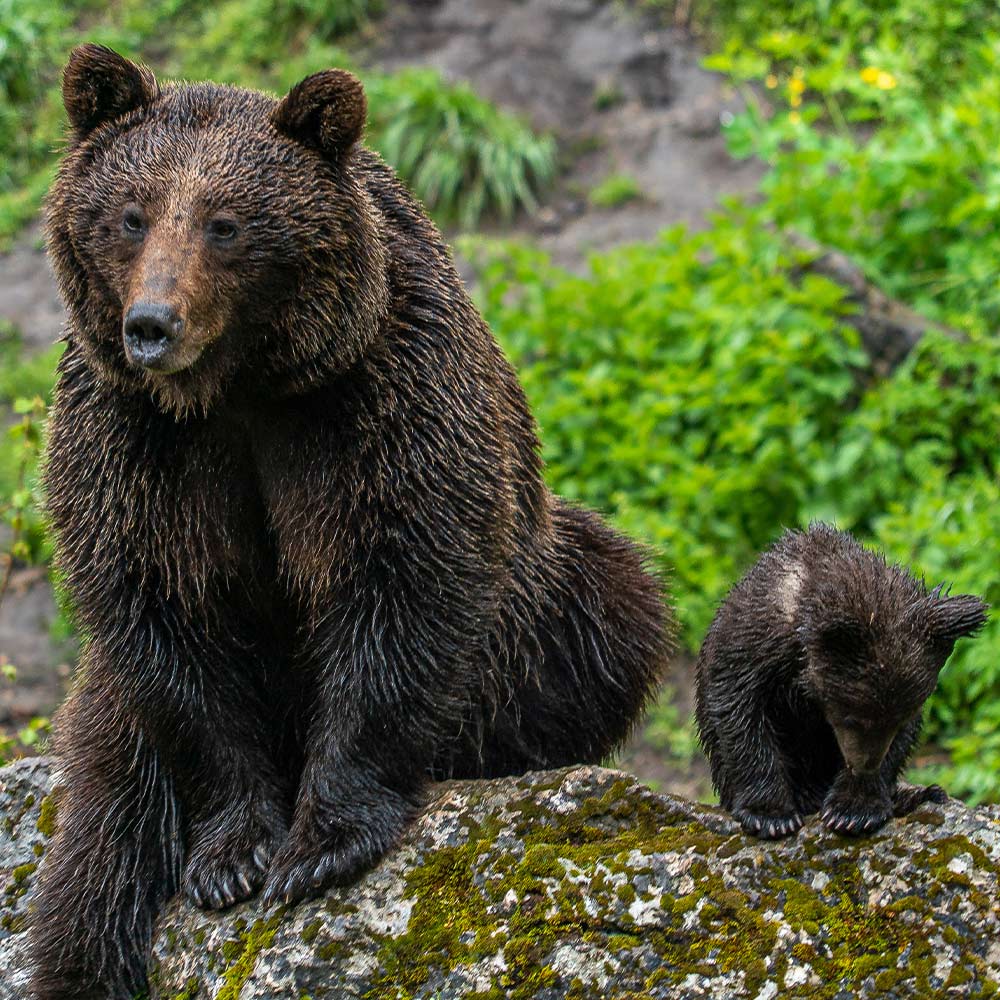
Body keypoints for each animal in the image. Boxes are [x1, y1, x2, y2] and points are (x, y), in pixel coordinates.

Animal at [27, 44, 673, 1000]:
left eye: (225, 224)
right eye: (130, 215)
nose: (152, 326)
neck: (236, 386)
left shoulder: (374, 400)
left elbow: (400, 582)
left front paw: (321, 845)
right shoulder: (136, 447)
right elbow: (174, 628)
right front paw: (231, 855)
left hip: (540, 610)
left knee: (613, 607)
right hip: (107, 714)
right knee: (99, 856)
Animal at [695, 522, 987, 841]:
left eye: (897, 720)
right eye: (852, 718)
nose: (863, 766)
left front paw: (852, 811)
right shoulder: (751, 647)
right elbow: (741, 714)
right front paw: (771, 816)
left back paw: (921, 793)